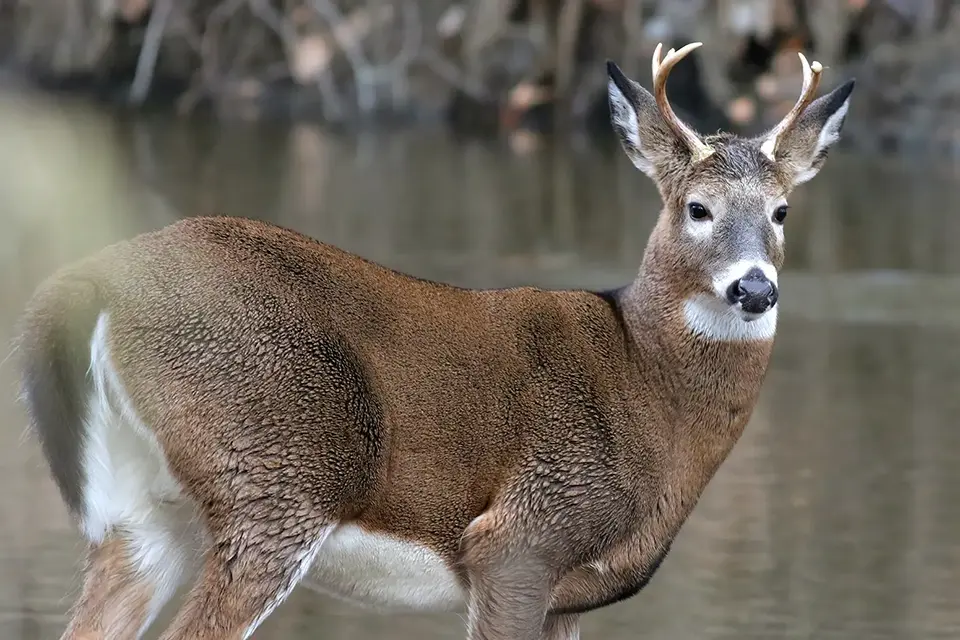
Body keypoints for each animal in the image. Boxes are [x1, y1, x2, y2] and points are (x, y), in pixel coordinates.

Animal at [15, 42, 854, 640]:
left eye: (781, 211)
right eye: (697, 208)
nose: (754, 288)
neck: (644, 391)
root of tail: (92, 280)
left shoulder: (568, 597)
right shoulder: (519, 540)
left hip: (149, 512)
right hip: (277, 476)